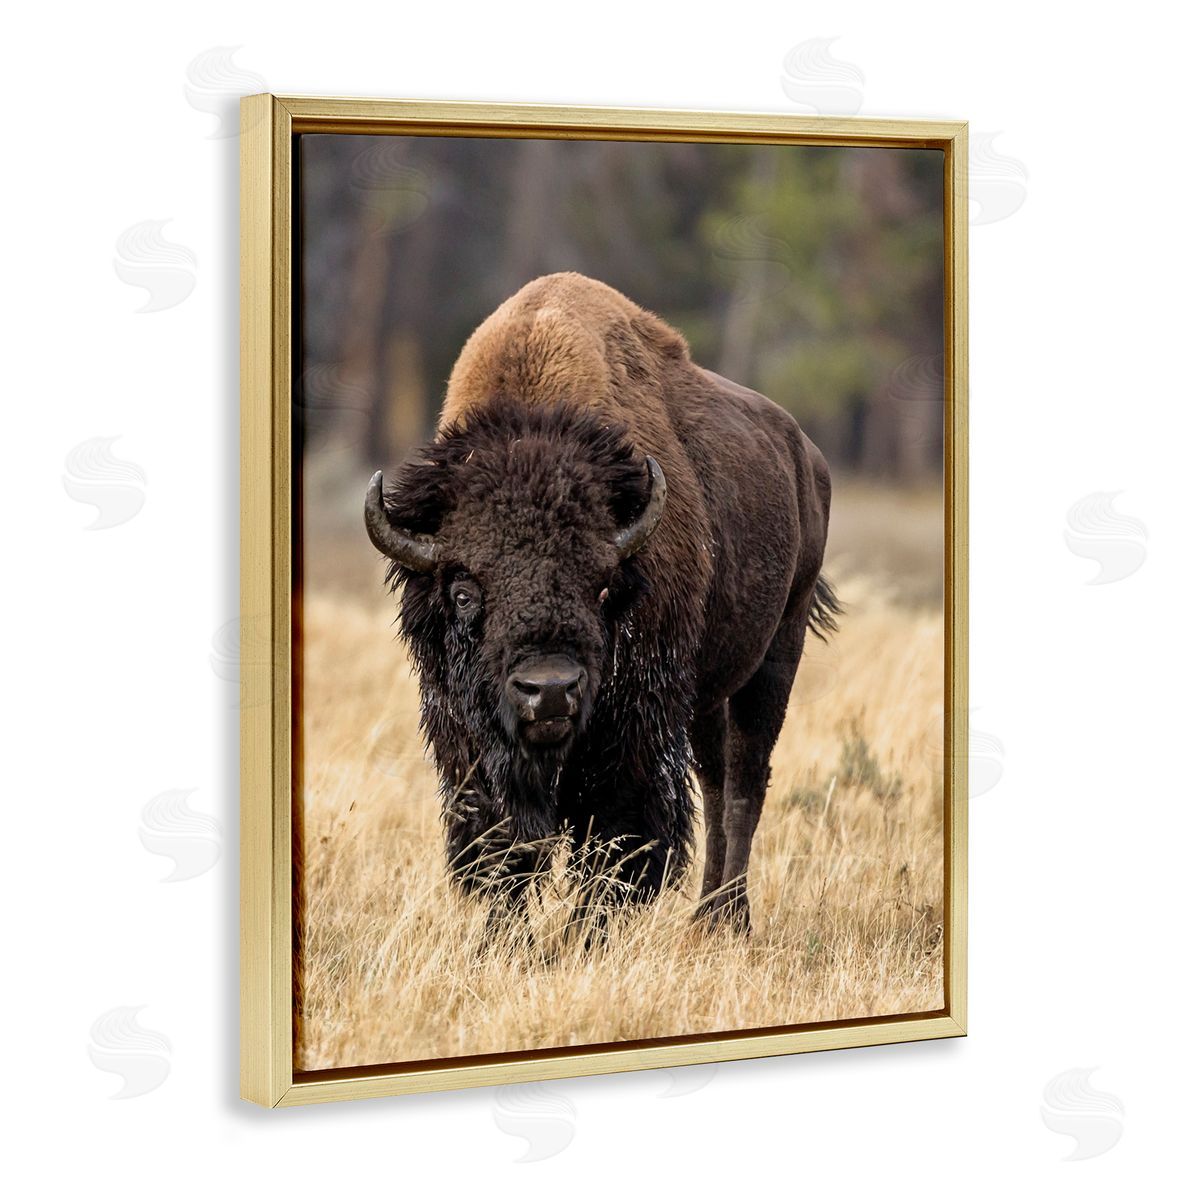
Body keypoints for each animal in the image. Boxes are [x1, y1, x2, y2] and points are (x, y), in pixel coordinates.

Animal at [365, 272, 838, 935]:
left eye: (603, 586)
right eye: (463, 592)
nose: (550, 690)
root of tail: (807, 458)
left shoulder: (634, 731)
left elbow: (615, 843)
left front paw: (581, 937)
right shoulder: (469, 741)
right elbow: (503, 845)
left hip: (777, 652)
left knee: (746, 781)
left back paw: (730, 920)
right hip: (707, 692)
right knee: (716, 780)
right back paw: (705, 916)